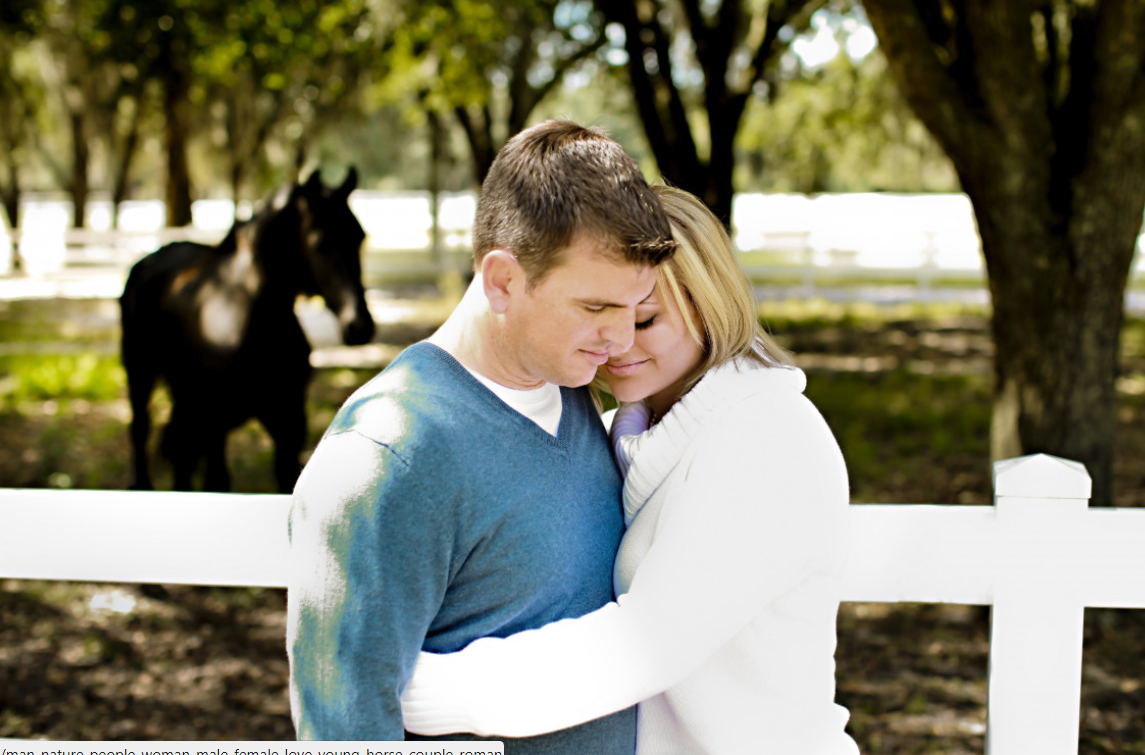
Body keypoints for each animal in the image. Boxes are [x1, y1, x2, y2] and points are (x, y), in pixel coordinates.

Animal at [123, 168, 377, 492]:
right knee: (142, 429)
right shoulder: (214, 425)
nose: (359, 325)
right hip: (141, 373)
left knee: (182, 455)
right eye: (321, 243)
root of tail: (149, 262)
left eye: (360, 237)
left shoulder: (289, 423)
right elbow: (217, 481)